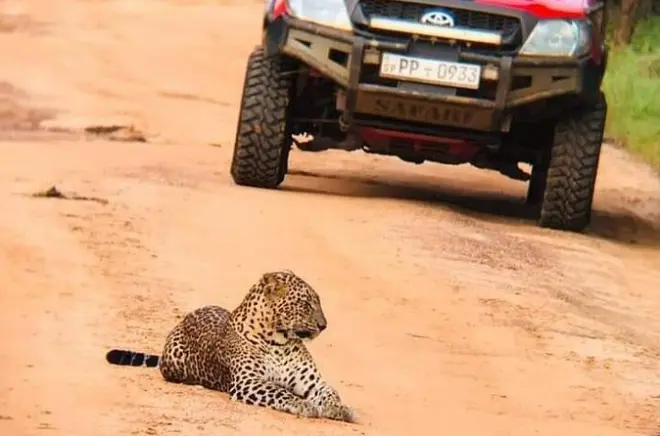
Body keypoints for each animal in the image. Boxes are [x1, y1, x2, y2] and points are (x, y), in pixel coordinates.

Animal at [105, 269, 355, 423]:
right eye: (305, 303)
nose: (324, 325)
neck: (279, 341)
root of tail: (186, 317)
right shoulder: (248, 381)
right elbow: (279, 391)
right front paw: (304, 405)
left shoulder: (313, 383)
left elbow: (331, 393)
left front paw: (341, 409)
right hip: (174, 366)